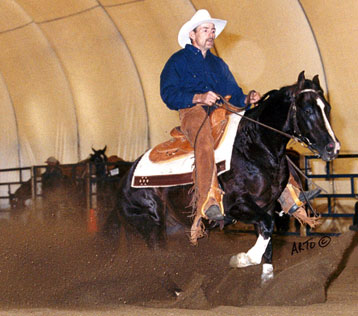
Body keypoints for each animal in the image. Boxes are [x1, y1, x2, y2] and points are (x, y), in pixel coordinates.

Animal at [110, 73, 340, 282]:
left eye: (327, 108)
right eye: (308, 110)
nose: (333, 148)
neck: (253, 147)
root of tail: (123, 182)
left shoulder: (265, 206)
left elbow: (268, 241)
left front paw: (265, 280)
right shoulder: (237, 206)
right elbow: (266, 229)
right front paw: (244, 258)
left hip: (172, 228)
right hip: (151, 225)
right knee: (159, 261)